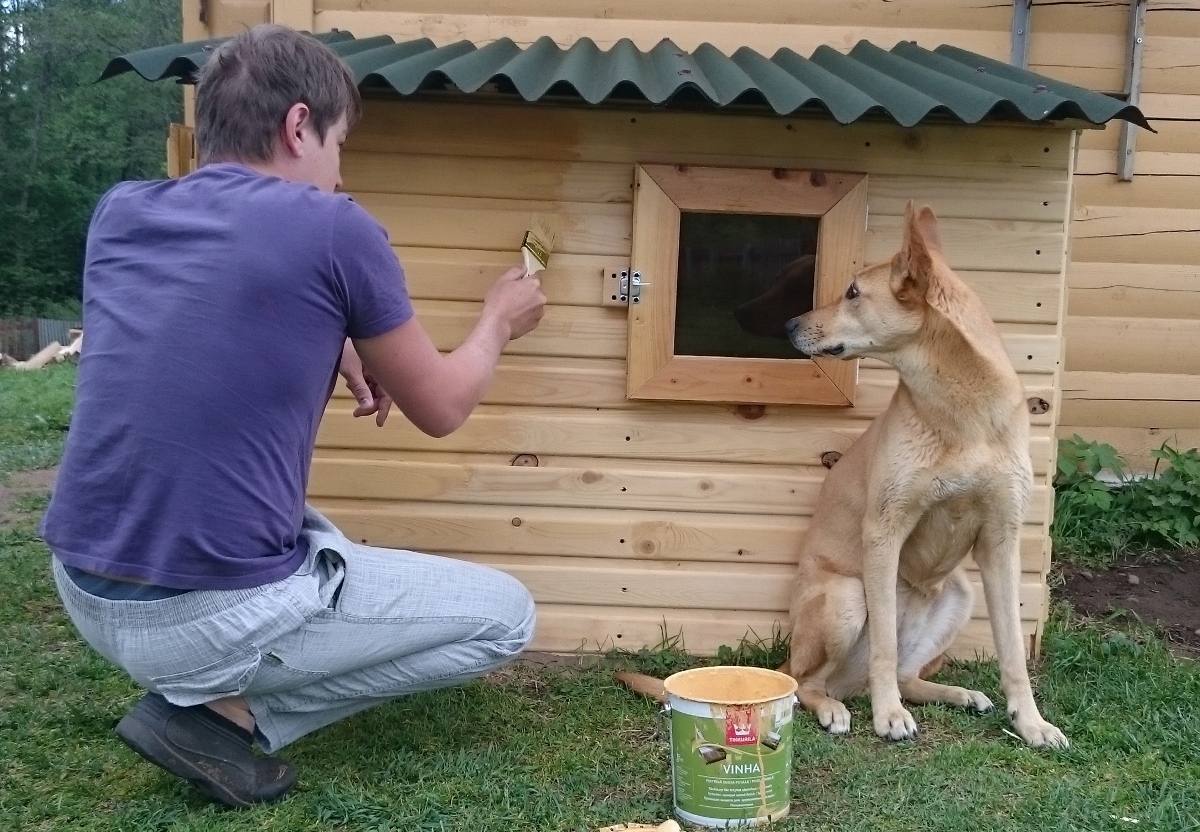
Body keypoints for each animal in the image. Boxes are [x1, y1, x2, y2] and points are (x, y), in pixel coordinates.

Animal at [619, 204, 1070, 749]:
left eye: (853, 292)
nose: (790, 323)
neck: (962, 414)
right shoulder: (885, 530)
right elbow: (884, 648)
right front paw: (888, 717)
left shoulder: (1000, 538)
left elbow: (1013, 654)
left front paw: (1031, 723)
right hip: (846, 597)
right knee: (808, 684)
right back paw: (837, 707)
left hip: (960, 594)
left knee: (904, 675)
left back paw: (955, 693)